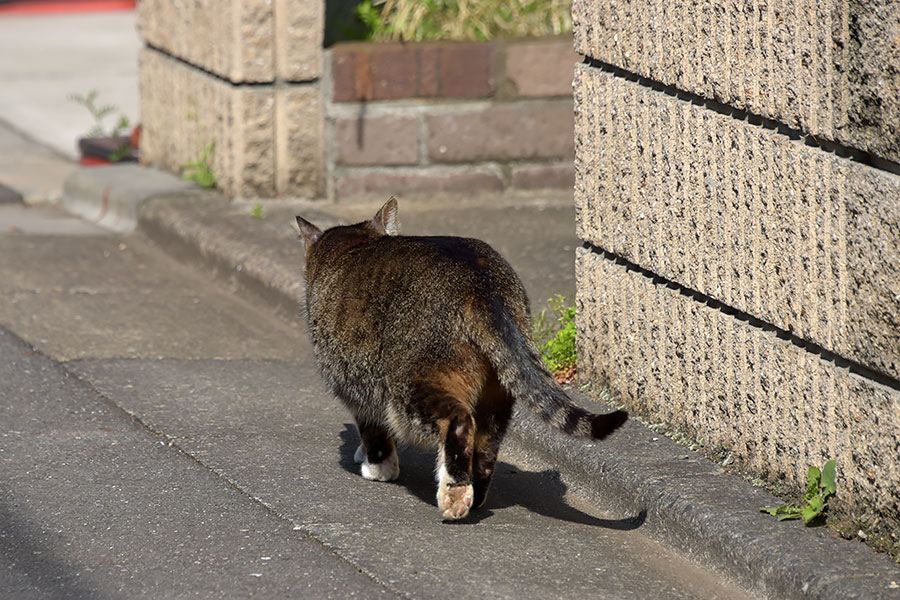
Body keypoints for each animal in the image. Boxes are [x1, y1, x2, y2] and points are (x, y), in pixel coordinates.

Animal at [296, 198, 624, 520]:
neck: (353, 243)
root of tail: (479, 281)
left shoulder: (353, 380)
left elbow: (372, 427)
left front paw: (377, 466)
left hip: (412, 382)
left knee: (458, 421)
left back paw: (455, 492)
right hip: (497, 390)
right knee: (486, 441)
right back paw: (475, 492)